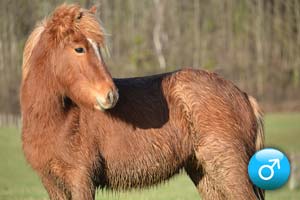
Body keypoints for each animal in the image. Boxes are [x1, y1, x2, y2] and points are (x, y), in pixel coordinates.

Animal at [20, 3, 264, 200]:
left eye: (98, 48)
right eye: (79, 48)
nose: (111, 95)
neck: (58, 121)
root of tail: (243, 95)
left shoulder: (81, 180)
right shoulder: (52, 183)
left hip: (227, 170)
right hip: (204, 172)